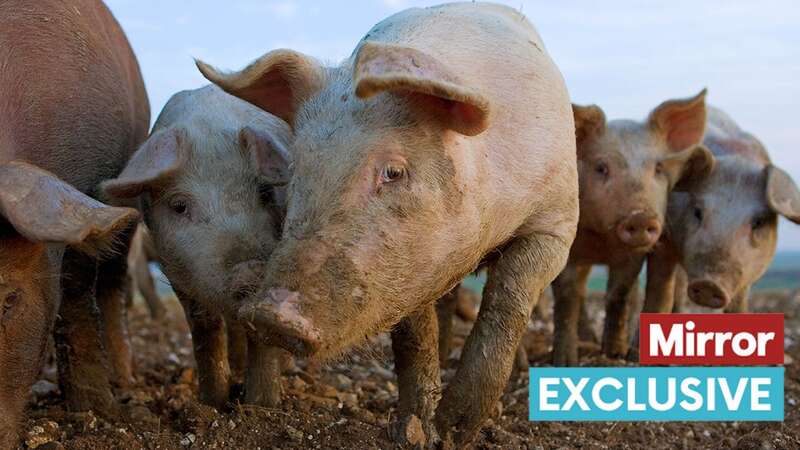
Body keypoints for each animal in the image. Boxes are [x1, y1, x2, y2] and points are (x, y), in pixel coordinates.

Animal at [0, 0, 148, 444]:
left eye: (9, 300)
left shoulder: (88, 183)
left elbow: (77, 295)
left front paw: (94, 409)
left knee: (114, 284)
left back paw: (126, 383)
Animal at [103, 85, 294, 412]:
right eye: (179, 205)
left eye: (266, 192)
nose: (250, 269)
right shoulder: (177, 271)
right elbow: (205, 330)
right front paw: (212, 403)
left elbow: (262, 337)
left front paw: (262, 407)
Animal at [197, 2, 580, 446]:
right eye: (297, 169)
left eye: (394, 172)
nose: (272, 316)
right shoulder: (407, 269)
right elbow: (413, 336)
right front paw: (414, 431)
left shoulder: (558, 220)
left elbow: (509, 299)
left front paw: (454, 430)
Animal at [552, 90, 716, 366]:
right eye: (601, 167)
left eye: (659, 168)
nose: (640, 216)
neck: (602, 241)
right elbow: (567, 296)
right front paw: (564, 362)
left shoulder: (633, 255)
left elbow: (619, 294)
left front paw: (614, 354)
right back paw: (586, 341)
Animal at [636, 106, 800, 324]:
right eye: (697, 212)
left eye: (758, 222)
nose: (709, 284)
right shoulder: (663, 239)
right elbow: (660, 295)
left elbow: (738, 307)